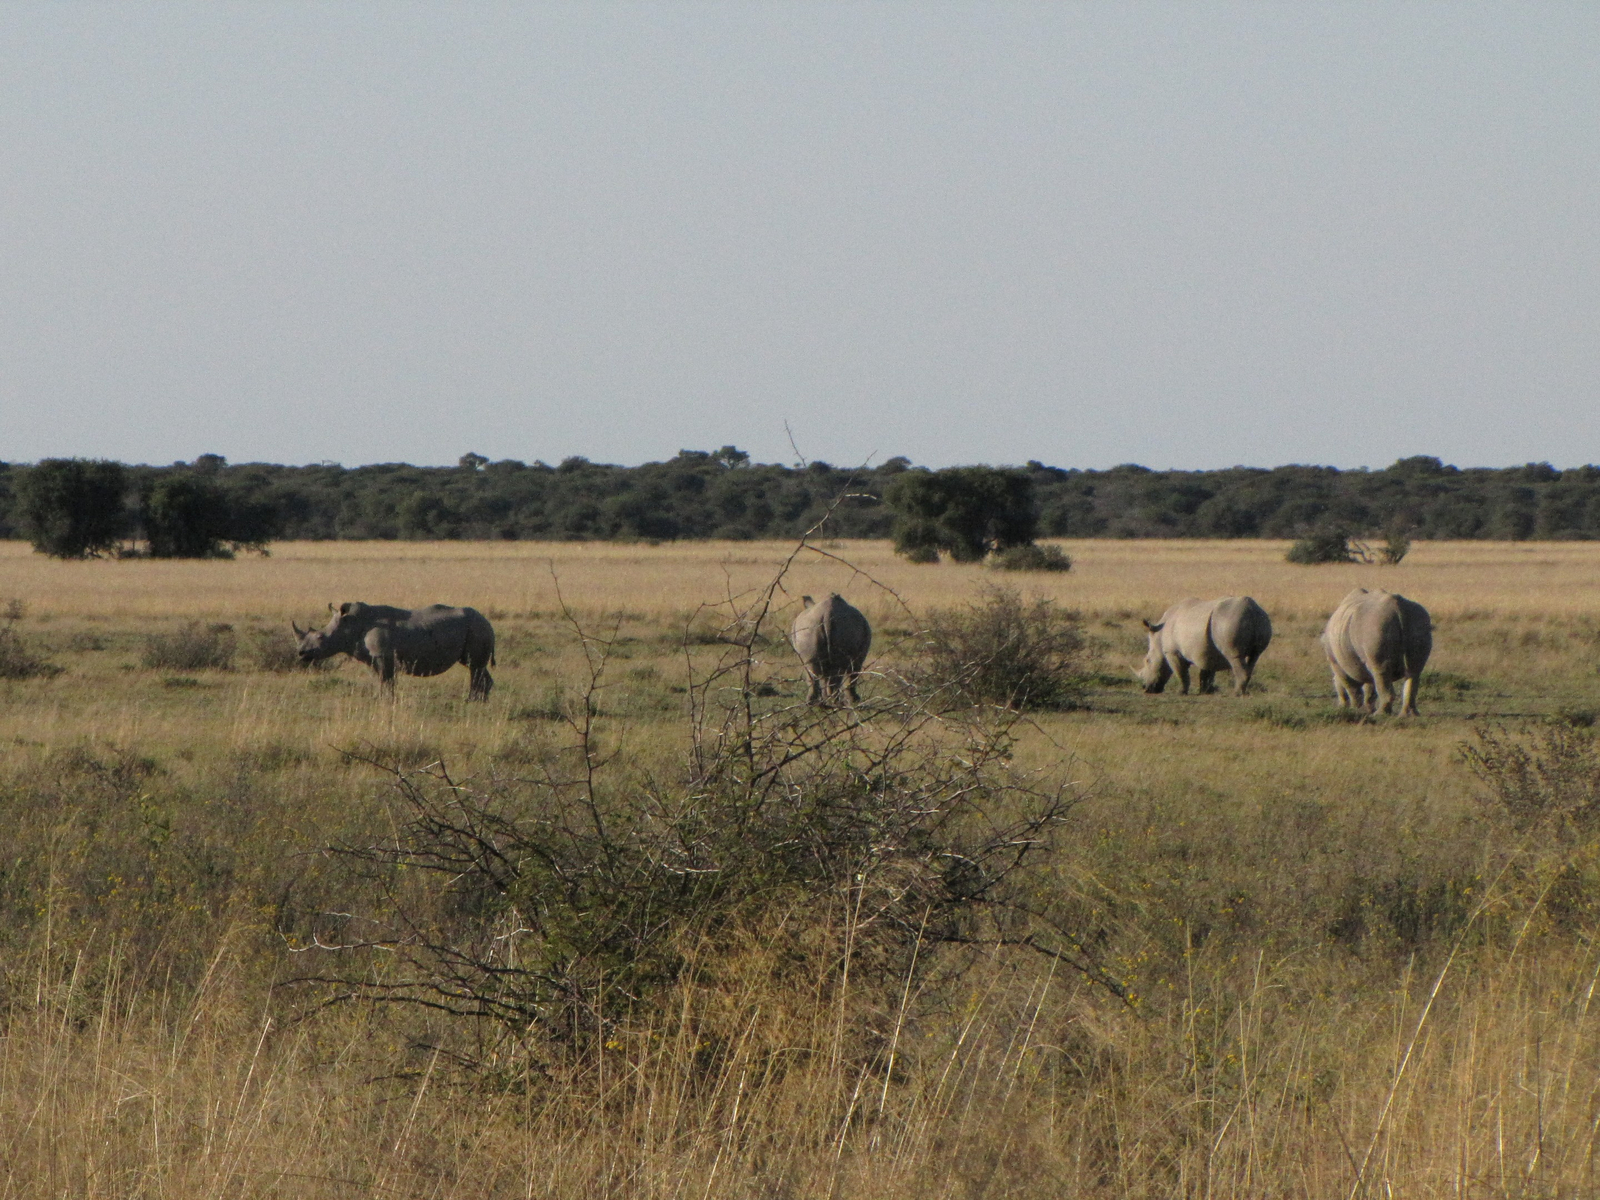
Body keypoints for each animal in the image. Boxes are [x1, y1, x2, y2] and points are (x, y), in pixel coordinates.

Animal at [292, 602, 496, 700]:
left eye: (320, 637)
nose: (301, 654)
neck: (351, 624)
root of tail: (488, 621)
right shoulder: (376, 658)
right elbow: (384, 681)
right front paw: (382, 700)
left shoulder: (384, 656)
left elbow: (387, 681)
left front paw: (386, 702)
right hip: (476, 628)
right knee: (476, 667)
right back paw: (481, 702)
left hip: (477, 628)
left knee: (475, 667)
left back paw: (471, 701)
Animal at [1137, 596, 1273, 696]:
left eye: (1148, 661)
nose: (1145, 688)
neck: (1159, 636)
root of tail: (1252, 610)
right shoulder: (1208, 652)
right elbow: (1207, 672)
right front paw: (1205, 691)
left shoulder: (1172, 652)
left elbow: (1181, 673)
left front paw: (1181, 692)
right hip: (1261, 620)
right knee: (1254, 656)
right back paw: (1243, 692)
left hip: (1230, 620)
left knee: (1234, 657)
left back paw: (1236, 694)